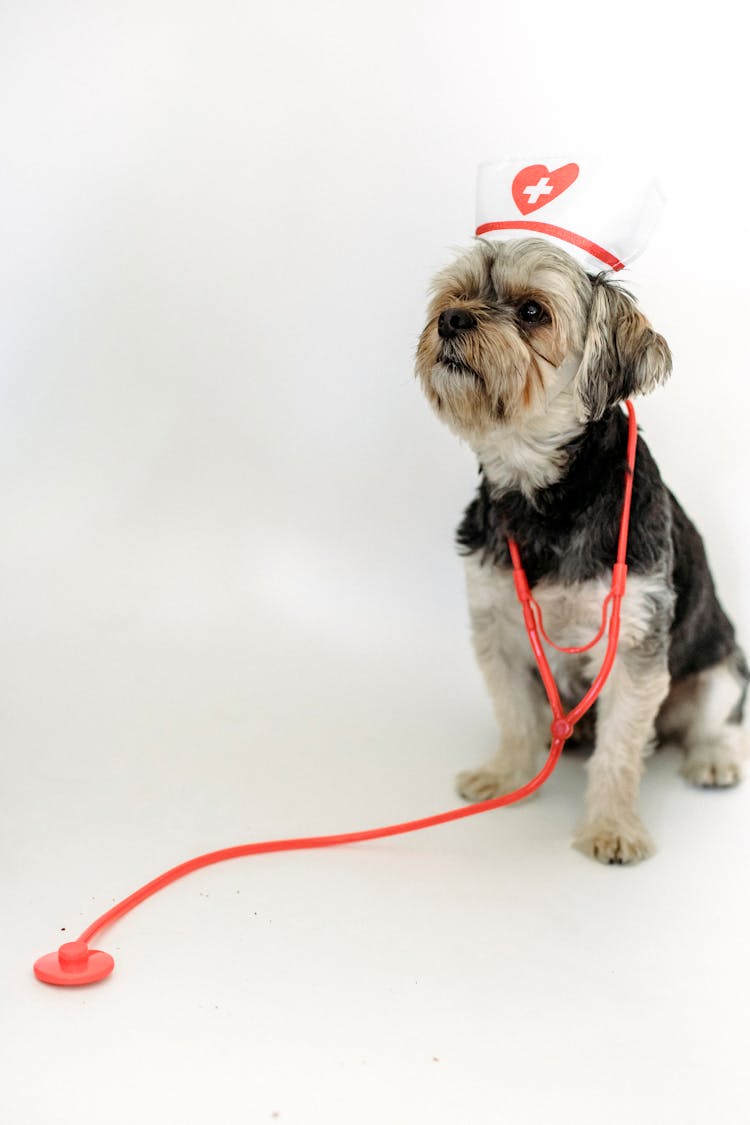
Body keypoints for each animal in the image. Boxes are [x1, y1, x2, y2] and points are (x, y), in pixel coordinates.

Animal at [413, 237, 746, 864]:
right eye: (455, 295)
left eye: (532, 312)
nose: (450, 319)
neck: (543, 498)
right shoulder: (497, 626)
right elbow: (514, 715)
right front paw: (507, 776)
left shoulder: (636, 641)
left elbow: (619, 750)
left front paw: (612, 827)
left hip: (721, 669)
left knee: (717, 722)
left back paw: (713, 757)